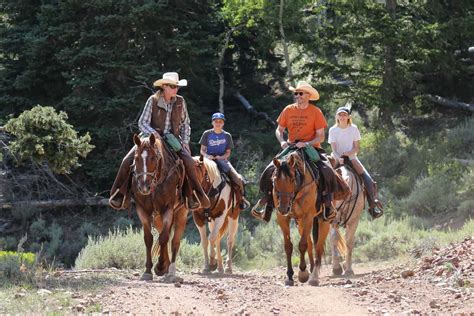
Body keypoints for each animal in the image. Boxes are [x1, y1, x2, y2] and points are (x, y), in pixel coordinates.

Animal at [131, 133, 189, 282]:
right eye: (136, 158)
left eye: (153, 157)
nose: (144, 186)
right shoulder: (142, 210)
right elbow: (148, 238)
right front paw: (148, 271)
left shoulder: (168, 209)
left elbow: (164, 238)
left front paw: (161, 266)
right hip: (157, 218)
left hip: (181, 214)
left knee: (174, 241)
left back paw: (171, 271)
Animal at [272, 151, 346, 286]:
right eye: (275, 180)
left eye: (292, 179)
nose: (284, 208)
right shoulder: (283, 219)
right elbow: (288, 246)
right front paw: (289, 276)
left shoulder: (308, 217)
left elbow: (302, 245)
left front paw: (302, 273)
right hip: (300, 222)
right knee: (311, 244)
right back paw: (311, 269)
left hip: (323, 221)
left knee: (318, 247)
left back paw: (314, 276)